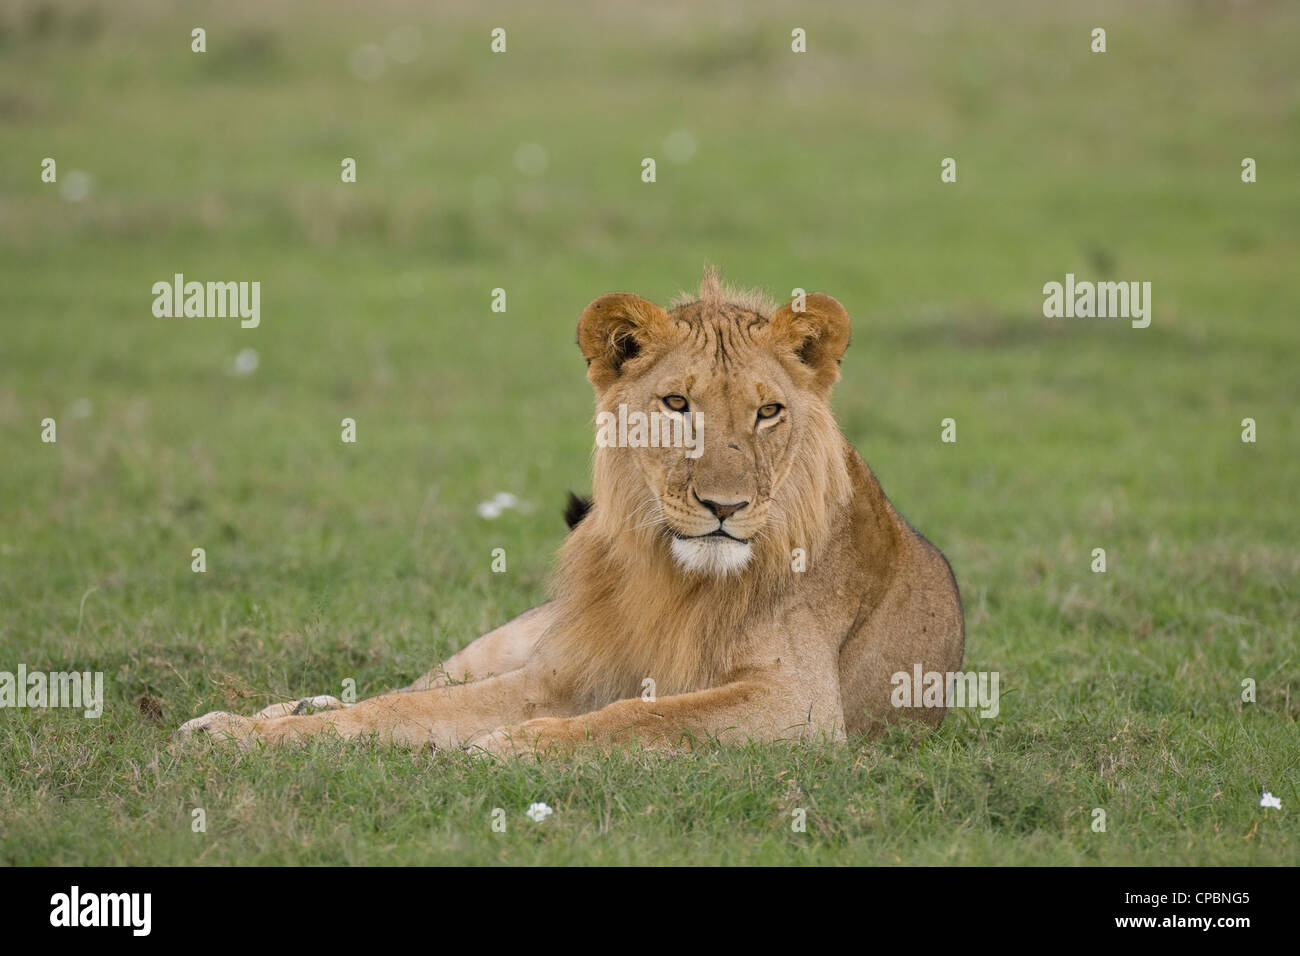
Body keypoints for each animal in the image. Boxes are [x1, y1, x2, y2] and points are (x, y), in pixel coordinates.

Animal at [178, 269, 961, 754]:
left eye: (768, 412)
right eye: (676, 404)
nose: (725, 506)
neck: (674, 579)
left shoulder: (798, 704)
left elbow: (646, 717)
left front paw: (515, 746)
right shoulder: (556, 675)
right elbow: (401, 709)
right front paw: (246, 736)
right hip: (511, 641)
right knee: (415, 683)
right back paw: (259, 712)